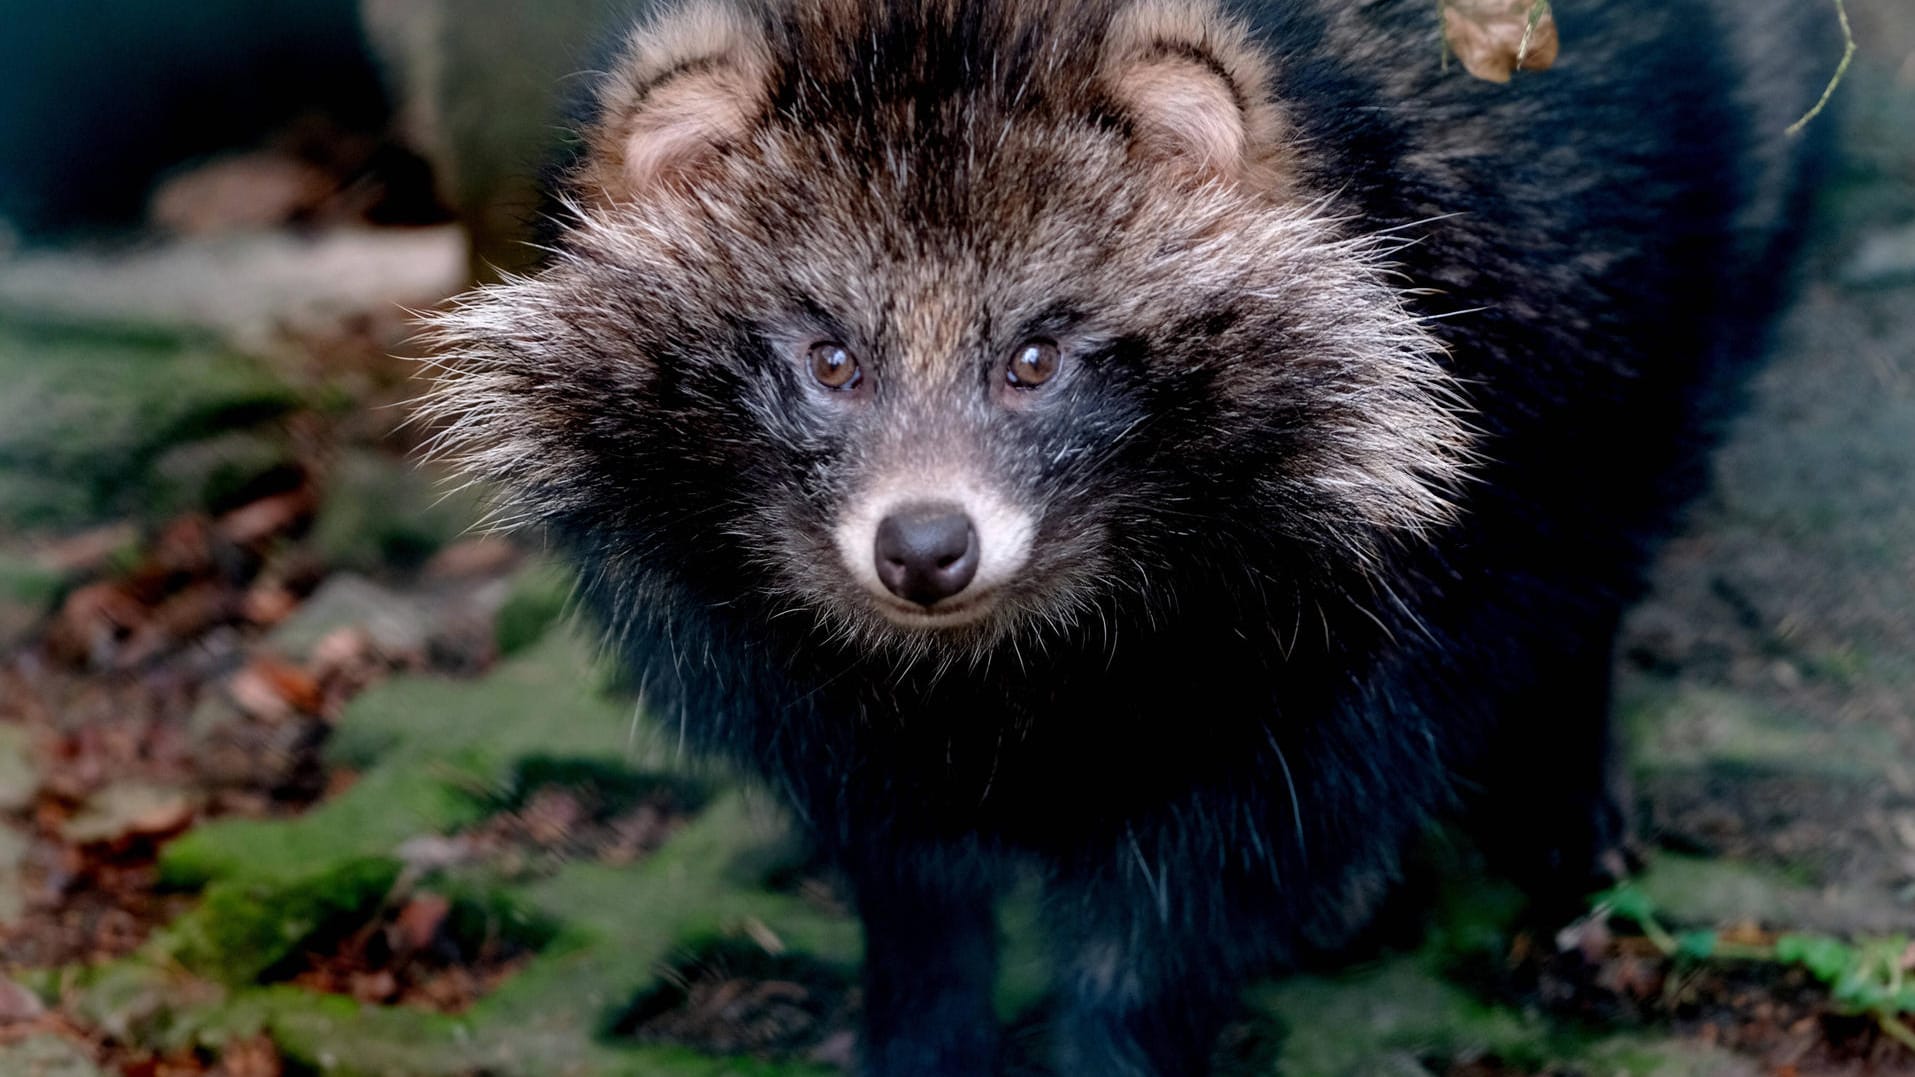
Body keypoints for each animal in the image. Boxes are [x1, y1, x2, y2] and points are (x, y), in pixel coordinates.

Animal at [423, 2, 1838, 1065]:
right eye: (830, 362)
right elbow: (911, 877)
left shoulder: (1343, 611)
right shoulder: (797, 678)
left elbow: (1174, 909)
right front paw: (922, 1025)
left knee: (1608, 509)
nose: (924, 546)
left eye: (1034, 359)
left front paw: (1121, 1034)